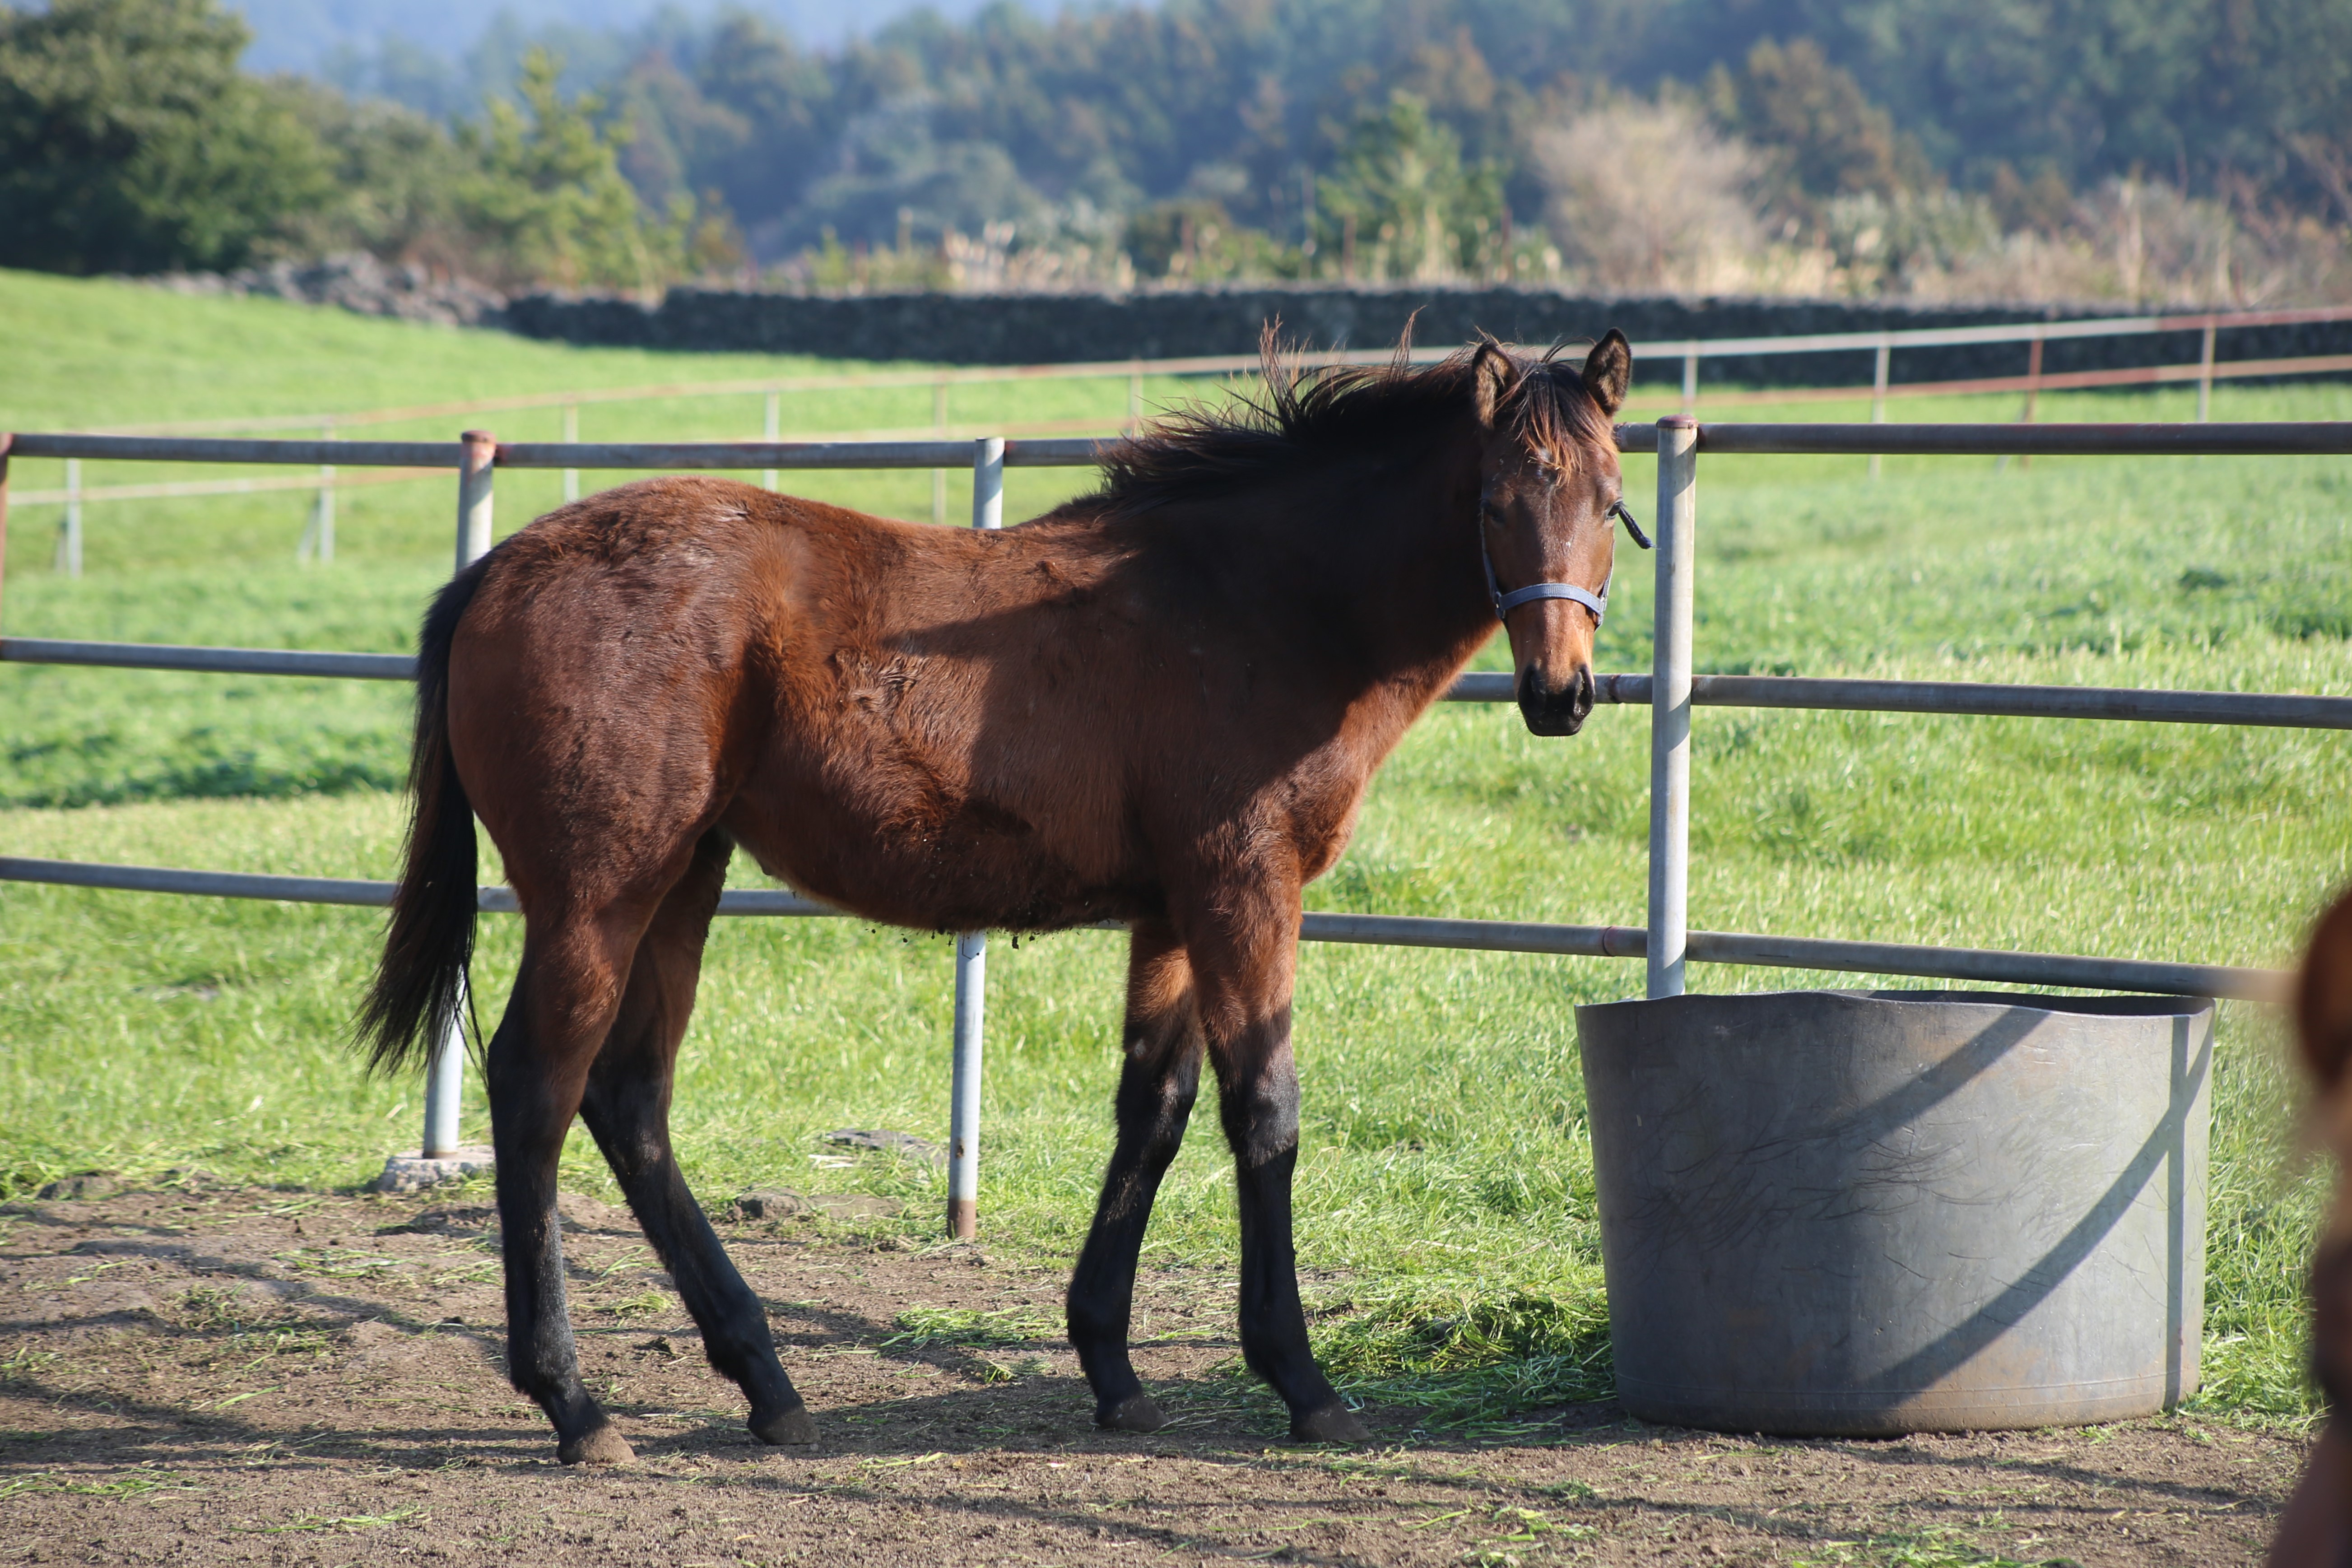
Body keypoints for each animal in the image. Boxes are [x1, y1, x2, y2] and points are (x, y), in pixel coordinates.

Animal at [357, 324, 1637, 1467]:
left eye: (1612, 498)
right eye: (1494, 501)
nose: (1560, 693)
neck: (1261, 602)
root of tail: (497, 569)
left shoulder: (1172, 912)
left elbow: (1153, 1111)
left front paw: (1112, 1366)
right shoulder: (1244, 887)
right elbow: (1263, 1112)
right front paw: (1303, 1382)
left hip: (685, 877)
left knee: (629, 1097)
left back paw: (766, 1381)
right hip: (597, 894)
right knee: (540, 1085)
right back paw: (576, 1402)